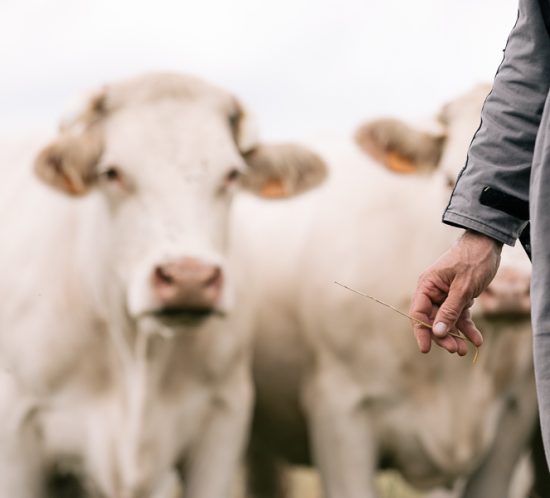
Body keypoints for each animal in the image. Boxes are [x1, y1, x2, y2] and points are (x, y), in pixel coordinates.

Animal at [0, 71, 328, 498]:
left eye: (232, 175)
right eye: (112, 172)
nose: (190, 278)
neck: (139, 354)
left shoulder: (223, 422)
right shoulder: (16, 435)